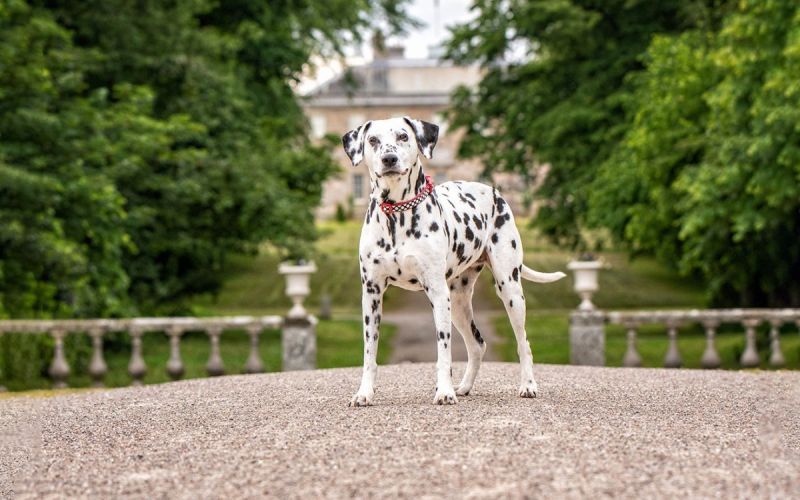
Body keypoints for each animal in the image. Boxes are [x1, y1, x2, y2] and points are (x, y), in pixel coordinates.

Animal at [340, 117, 564, 406]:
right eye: (372, 140)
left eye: (403, 136)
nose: (389, 159)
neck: (397, 216)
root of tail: (491, 189)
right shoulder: (372, 294)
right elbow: (369, 354)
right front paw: (364, 393)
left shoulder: (437, 292)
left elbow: (443, 351)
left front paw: (444, 391)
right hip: (457, 303)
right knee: (477, 345)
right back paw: (465, 387)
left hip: (509, 291)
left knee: (522, 342)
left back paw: (527, 385)